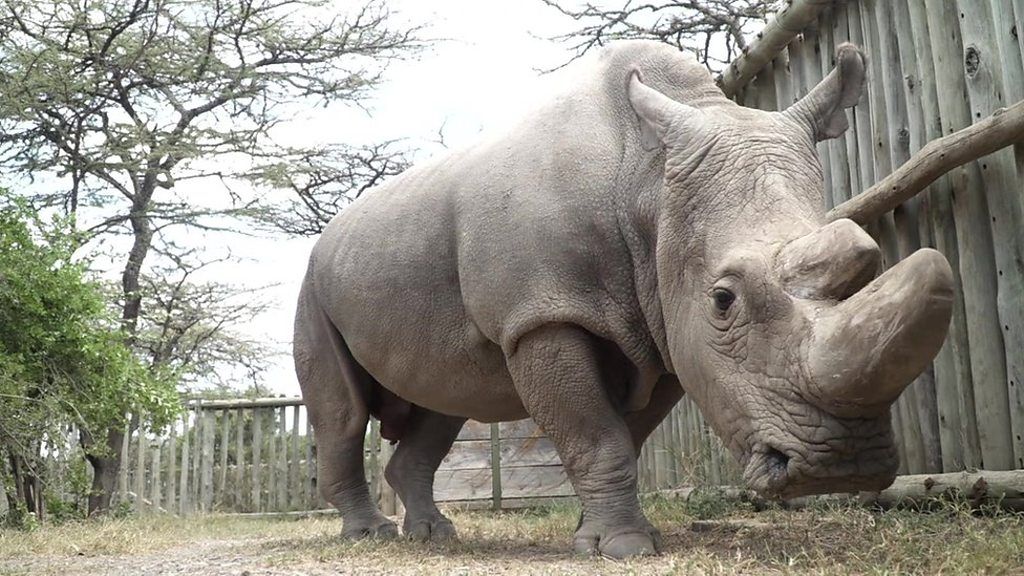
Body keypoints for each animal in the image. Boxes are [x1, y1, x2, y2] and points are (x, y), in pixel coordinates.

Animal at [294, 40, 950, 557]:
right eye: (723, 300)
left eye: (868, 264)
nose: (845, 464)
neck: (649, 184)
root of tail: (328, 237)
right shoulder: (541, 316)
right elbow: (596, 436)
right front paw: (627, 547)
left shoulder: (661, 329)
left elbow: (623, 439)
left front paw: (593, 538)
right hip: (313, 282)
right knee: (343, 414)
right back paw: (371, 536)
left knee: (442, 405)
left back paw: (434, 536)